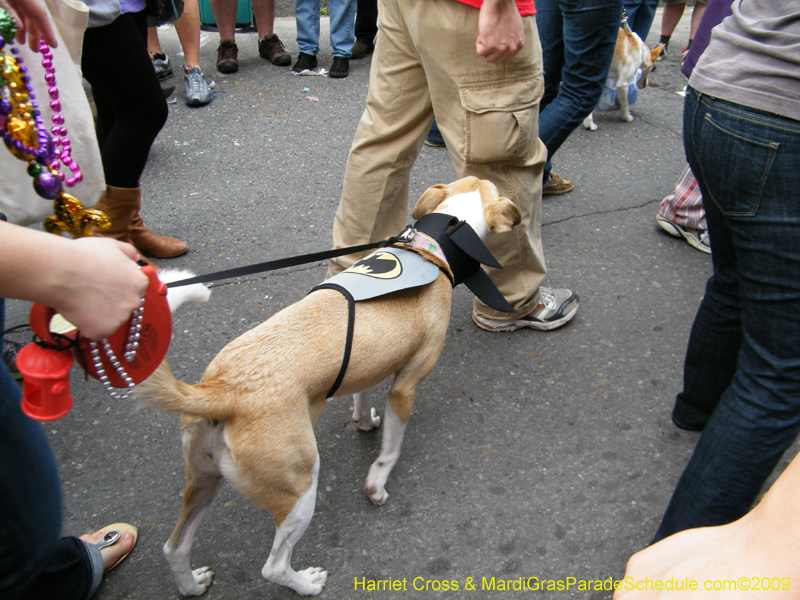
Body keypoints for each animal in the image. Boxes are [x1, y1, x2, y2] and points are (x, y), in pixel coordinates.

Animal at [138, 177, 520, 596]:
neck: (432, 247)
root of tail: (221, 390)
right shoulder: (404, 388)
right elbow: (390, 451)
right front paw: (376, 484)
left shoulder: (368, 370)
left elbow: (361, 403)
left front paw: (365, 424)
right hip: (299, 489)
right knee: (273, 566)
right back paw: (305, 583)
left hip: (204, 481)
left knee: (174, 547)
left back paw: (191, 584)